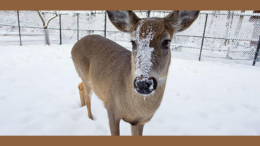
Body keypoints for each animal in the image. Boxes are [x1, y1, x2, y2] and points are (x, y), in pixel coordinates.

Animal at [71, 10, 199, 136]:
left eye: (166, 42)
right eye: (133, 42)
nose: (143, 83)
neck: (133, 109)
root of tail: (74, 46)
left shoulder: (139, 122)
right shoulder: (111, 108)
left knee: (80, 86)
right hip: (85, 76)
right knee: (87, 95)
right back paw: (90, 117)